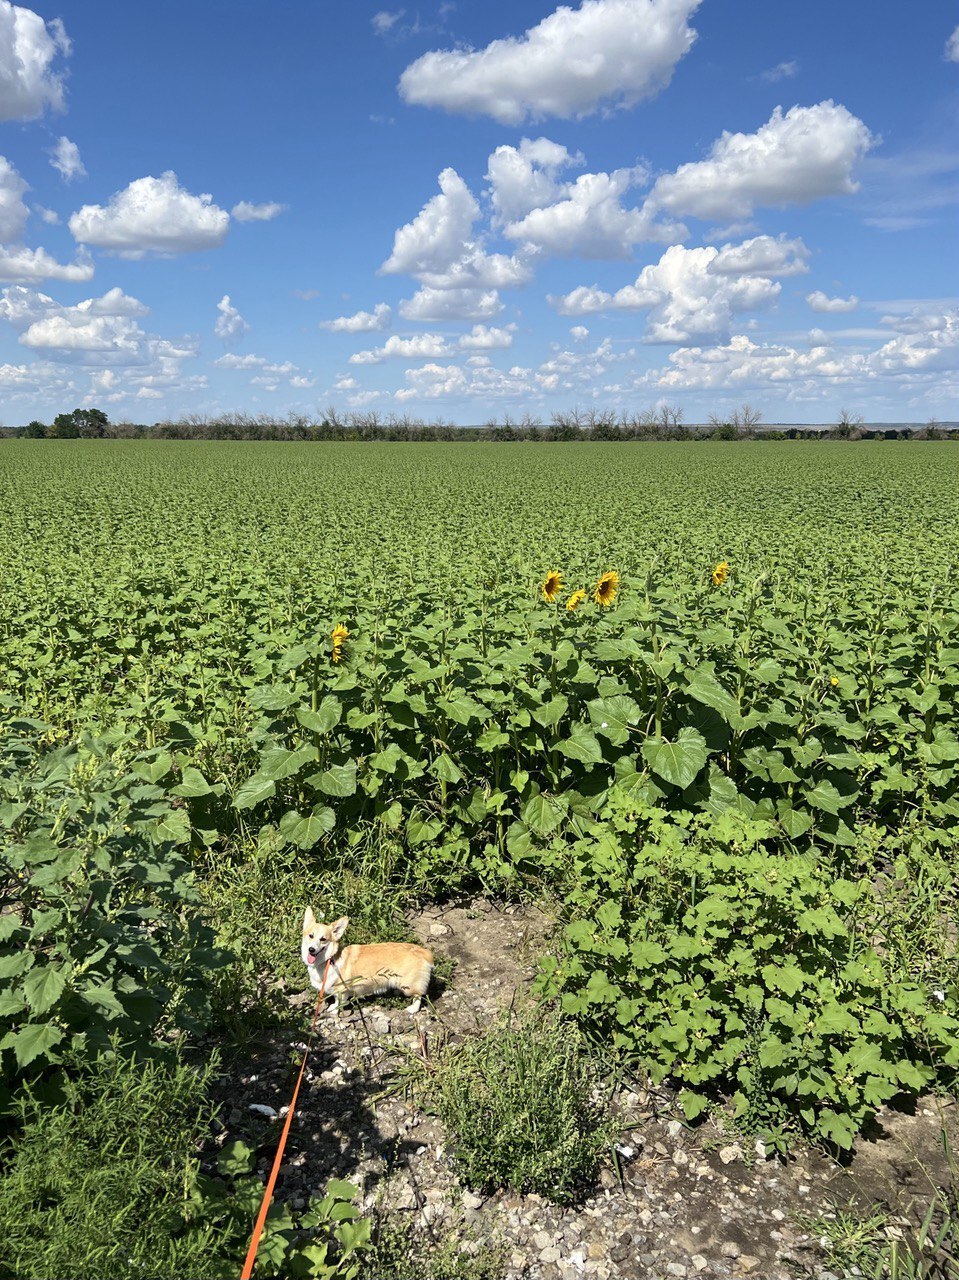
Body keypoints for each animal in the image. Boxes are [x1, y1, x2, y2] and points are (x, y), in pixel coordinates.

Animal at [300, 906, 432, 1013]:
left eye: (323, 939)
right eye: (311, 936)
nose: (311, 949)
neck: (329, 960)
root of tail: (423, 951)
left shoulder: (341, 990)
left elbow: (338, 1001)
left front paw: (334, 1009)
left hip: (408, 986)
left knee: (419, 995)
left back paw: (412, 1009)